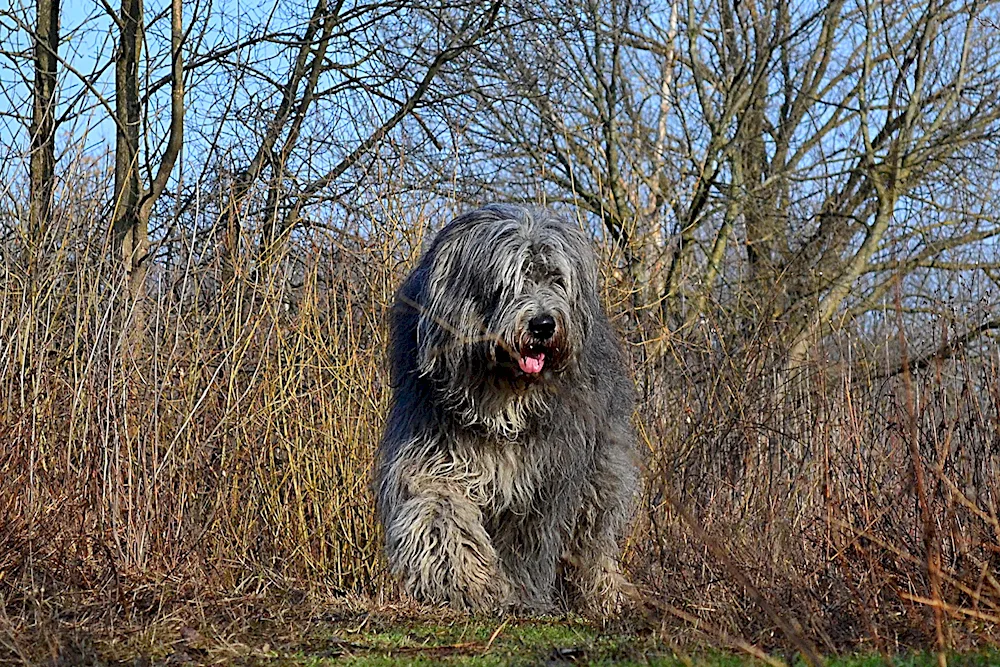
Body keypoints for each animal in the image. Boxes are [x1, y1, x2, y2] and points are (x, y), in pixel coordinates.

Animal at [376, 204, 640, 616]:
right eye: (510, 280)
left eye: (556, 279)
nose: (543, 324)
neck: (501, 396)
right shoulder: (432, 453)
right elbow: (437, 509)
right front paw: (470, 581)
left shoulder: (544, 477)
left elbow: (527, 541)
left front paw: (519, 595)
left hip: (602, 469)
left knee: (593, 536)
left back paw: (605, 595)